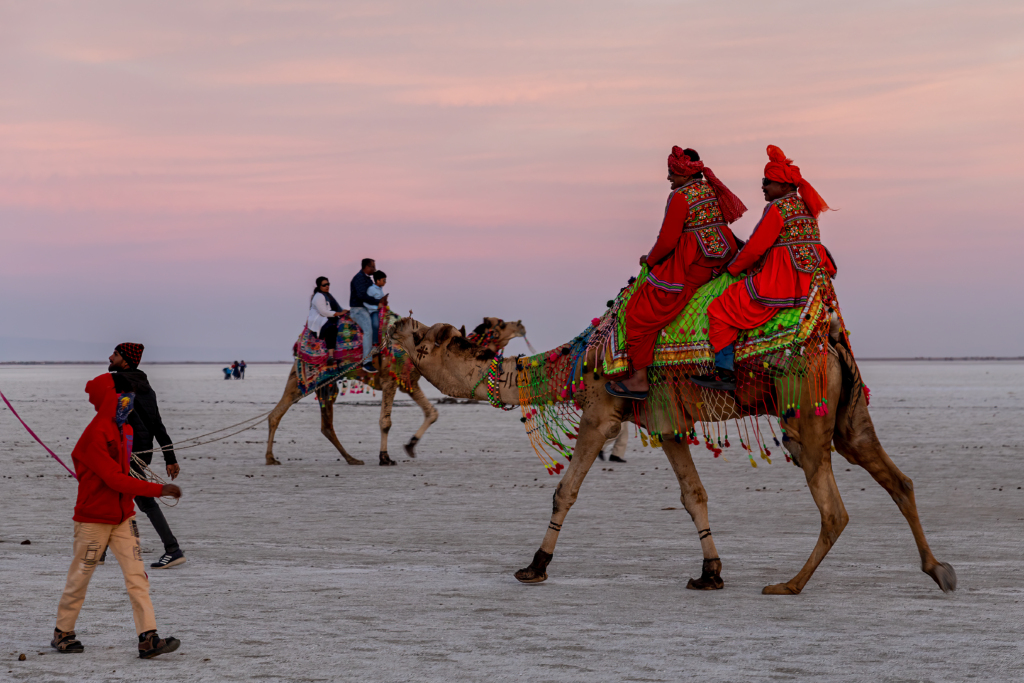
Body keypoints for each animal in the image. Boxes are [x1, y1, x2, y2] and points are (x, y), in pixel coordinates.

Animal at [262, 317, 528, 466]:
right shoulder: (392, 379)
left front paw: (410, 446)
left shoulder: (409, 382)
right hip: (305, 377)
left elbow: (432, 413)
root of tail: (301, 339)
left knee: (318, 423)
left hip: (323, 382)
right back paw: (270, 458)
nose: (521, 325)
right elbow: (386, 421)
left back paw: (351, 459)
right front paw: (385, 458)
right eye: (501, 324)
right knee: (279, 412)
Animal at [391, 317, 958, 593]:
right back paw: (938, 570)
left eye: (426, 339)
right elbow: (693, 494)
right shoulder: (667, 423)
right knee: (898, 479)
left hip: (808, 417)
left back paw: (789, 585)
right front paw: (710, 574)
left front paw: (535, 566)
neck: (578, 362)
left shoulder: (603, 412)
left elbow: (564, 490)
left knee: (835, 510)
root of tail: (834, 345)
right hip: (846, 417)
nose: (395, 328)